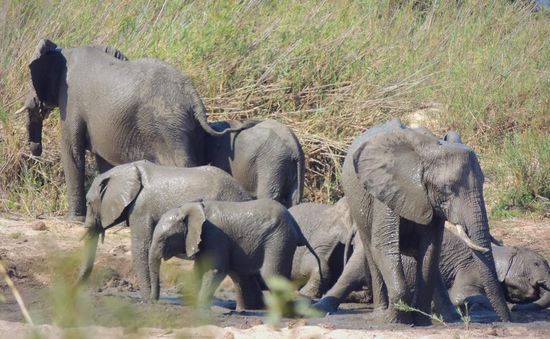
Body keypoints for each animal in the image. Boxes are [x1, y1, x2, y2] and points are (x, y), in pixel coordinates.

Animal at [17, 38, 250, 222]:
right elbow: (104, 160)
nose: (36, 150)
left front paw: (73, 221)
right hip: (191, 129)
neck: (65, 50)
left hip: (170, 128)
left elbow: (72, 151)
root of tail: (193, 97)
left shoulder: (71, 100)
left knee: (184, 164)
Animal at [76, 160, 251, 300]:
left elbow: (141, 246)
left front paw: (147, 299)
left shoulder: (140, 209)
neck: (126, 170)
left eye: (89, 203)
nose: (74, 288)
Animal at [148, 199, 324, 314]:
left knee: (271, 275)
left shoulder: (215, 236)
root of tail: (296, 226)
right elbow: (199, 269)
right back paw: (243, 311)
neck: (189, 208)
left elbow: (215, 270)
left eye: (164, 239)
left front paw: (201, 308)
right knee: (239, 274)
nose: (153, 302)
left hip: (279, 238)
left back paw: (285, 313)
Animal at [316, 119, 516, 326]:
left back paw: (447, 317)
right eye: (447, 189)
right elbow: (384, 245)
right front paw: (396, 320)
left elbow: (430, 249)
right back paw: (380, 315)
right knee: (370, 251)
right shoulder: (386, 189)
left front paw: (420, 320)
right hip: (358, 205)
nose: (507, 321)